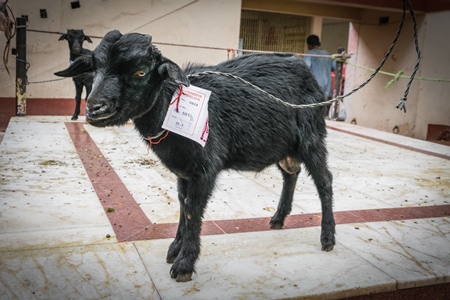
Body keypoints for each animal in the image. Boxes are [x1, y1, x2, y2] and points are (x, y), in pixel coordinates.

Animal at [55, 29, 334, 282]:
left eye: (140, 71)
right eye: (94, 68)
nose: (95, 109)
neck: (169, 106)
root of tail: (306, 71)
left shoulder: (204, 168)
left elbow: (193, 208)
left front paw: (184, 264)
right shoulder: (184, 170)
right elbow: (183, 203)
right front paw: (175, 249)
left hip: (311, 138)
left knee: (324, 181)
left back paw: (328, 237)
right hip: (285, 148)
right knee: (291, 174)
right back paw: (278, 218)